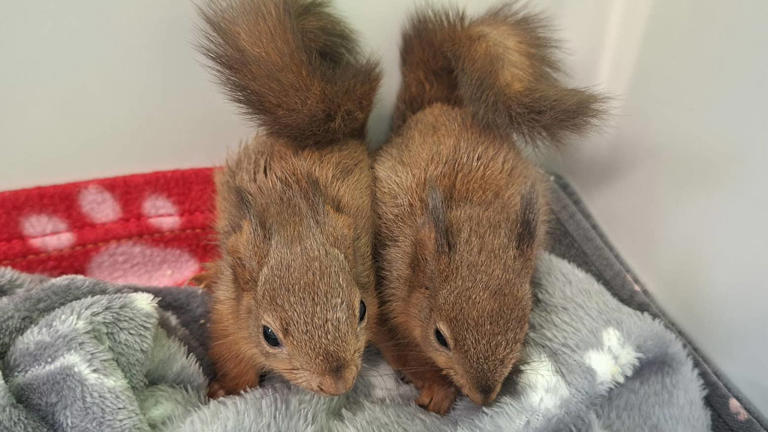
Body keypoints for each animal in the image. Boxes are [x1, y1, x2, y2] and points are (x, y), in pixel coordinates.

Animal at [197, 0, 380, 398]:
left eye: (362, 310)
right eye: (269, 335)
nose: (337, 384)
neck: (290, 219)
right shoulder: (229, 316)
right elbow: (233, 355)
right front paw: (227, 390)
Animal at [371, 3, 606, 414]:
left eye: (524, 324)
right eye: (440, 337)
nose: (484, 396)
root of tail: (440, 107)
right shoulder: (387, 295)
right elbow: (404, 349)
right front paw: (436, 388)